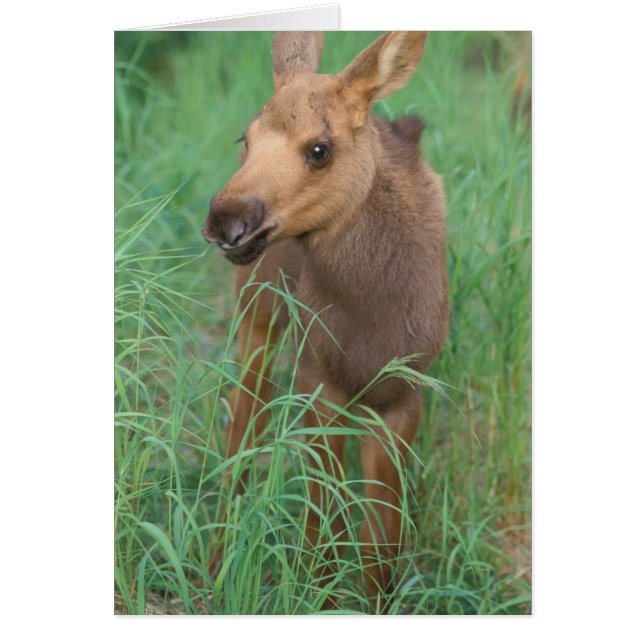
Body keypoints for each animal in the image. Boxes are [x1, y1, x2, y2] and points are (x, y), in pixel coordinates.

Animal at [202, 31, 449, 609]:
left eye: (320, 148)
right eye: (246, 138)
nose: (226, 220)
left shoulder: (403, 396)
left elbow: (382, 540)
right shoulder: (319, 381)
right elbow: (326, 523)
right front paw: (318, 599)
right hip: (257, 314)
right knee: (242, 425)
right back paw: (216, 562)